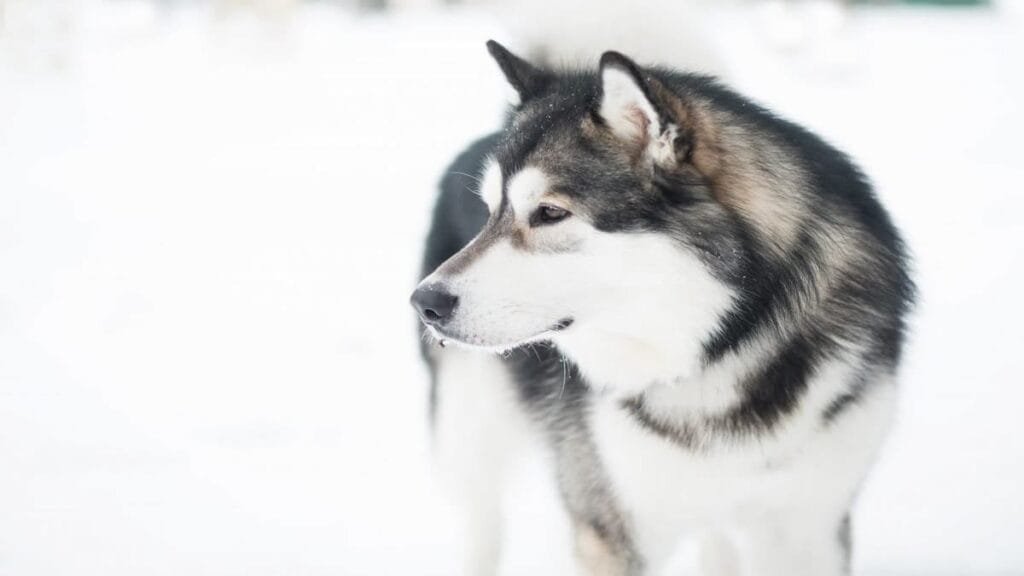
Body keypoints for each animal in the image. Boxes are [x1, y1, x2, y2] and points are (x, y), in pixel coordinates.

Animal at [411, 41, 917, 573]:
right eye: (490, 212)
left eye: (549, 212)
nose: (426, 302)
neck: (721, 346)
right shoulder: (611, 524)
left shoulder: (809, 527)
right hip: (470, 430)